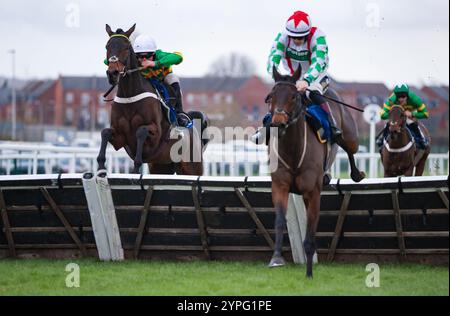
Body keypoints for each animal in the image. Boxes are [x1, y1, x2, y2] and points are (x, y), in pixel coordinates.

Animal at [96, 25, 207, 175]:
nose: (112, 73)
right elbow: (105, 132)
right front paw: (101, 166)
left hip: (192, 167)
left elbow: (141, 131)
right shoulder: (119, 137)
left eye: (126, 47)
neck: (130, 96)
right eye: (107, 46)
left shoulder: (156, 134)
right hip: (161, 166)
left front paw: (136, 168)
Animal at [268, 66, 366, 276]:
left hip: (351, 137)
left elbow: (311, 230)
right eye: (271, 96)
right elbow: (280, 220)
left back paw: (356, 173)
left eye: (293, 96)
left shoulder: (312, 192)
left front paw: (309, 270)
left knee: (351, 149)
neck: (294, 150)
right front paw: (277, 258)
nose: (277, 122)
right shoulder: (280, 186)